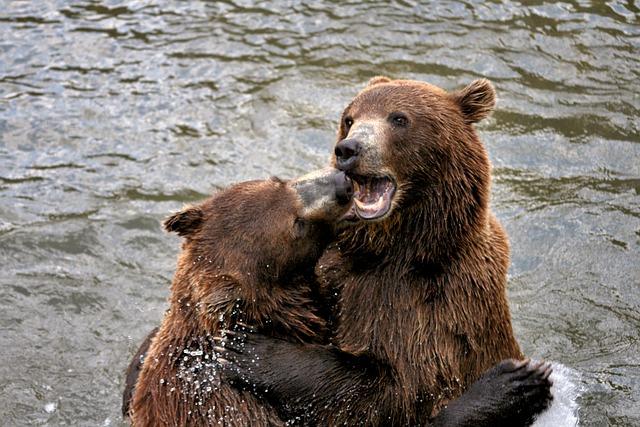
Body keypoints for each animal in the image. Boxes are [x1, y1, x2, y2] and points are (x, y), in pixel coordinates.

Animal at [218, 76, 552, 424]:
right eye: (349, 119)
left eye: (399, 118)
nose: (348, 149)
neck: (391, 249)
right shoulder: (338, 273)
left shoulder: (437, 304)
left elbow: (391, 389)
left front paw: (251, 350)